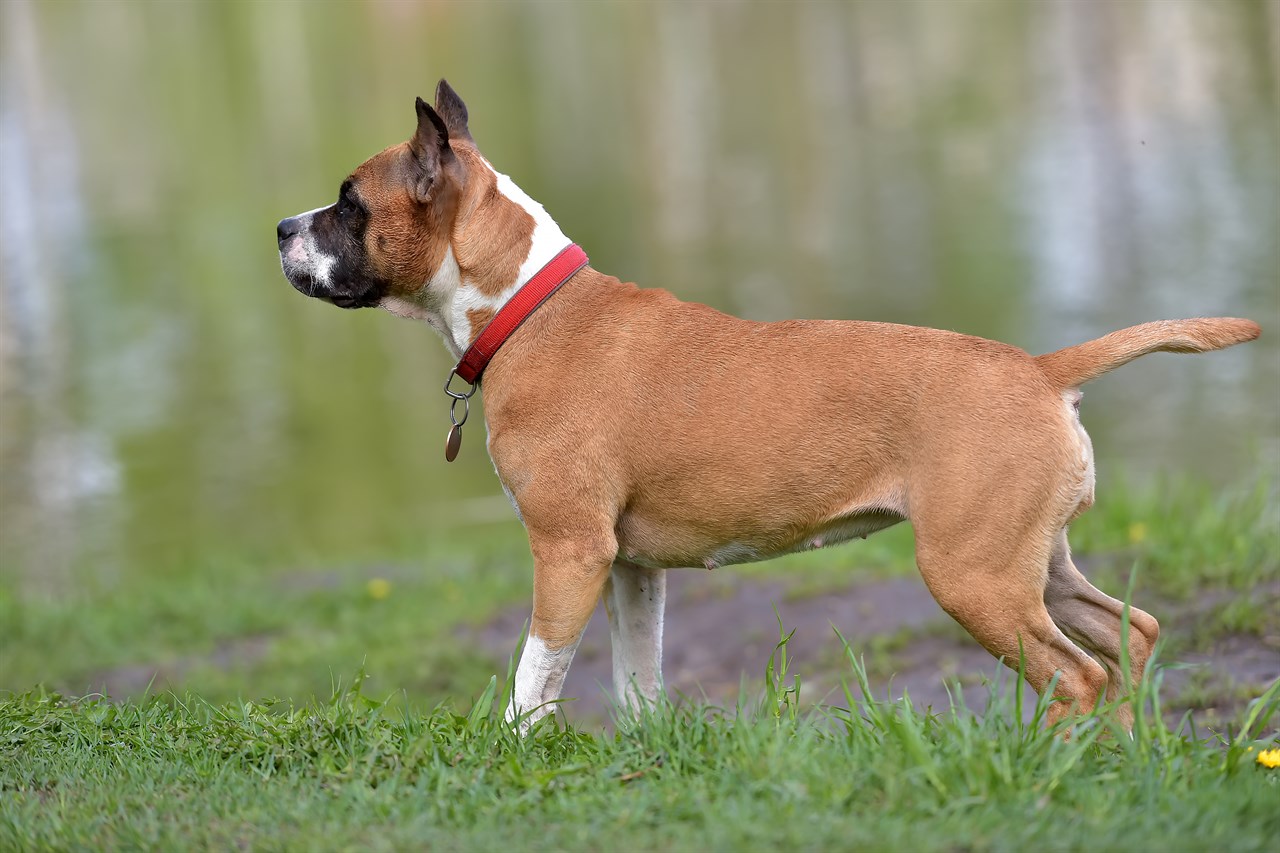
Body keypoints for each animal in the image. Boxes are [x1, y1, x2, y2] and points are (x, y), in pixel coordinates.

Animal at [277, 81, 1259, 732]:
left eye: (350, 204)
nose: (283, 227)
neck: (530, 306)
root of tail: (1041, 369)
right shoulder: (632, 569)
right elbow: (638, 674)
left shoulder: (567, 552)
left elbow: (535, 672)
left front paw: (510, 755)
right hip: (1033, 562)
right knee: (1127, 638)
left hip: (975, 576)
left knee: (1075, 674)